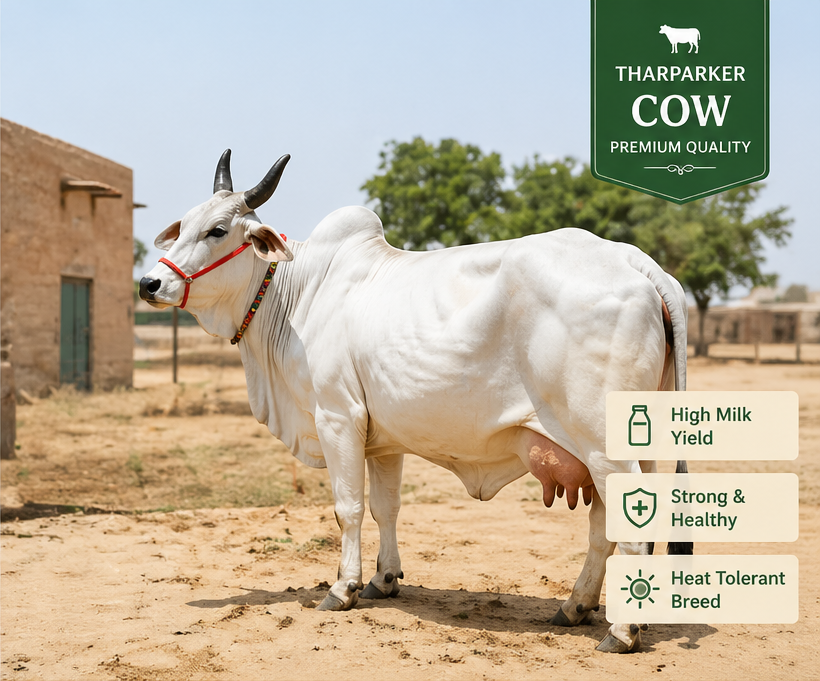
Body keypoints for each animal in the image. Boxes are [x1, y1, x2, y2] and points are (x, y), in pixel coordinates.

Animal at [139, 151, 692, 653]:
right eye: (183, 226)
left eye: (216, 231)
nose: (150, 283)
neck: (299, 294)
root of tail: (635, 261)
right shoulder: (383, 439)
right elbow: (385, 508)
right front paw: (383, 580)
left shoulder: (338, 418)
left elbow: (348, 508)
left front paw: (343, 588)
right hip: (620, 444)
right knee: (606, 528)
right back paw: (577, 606)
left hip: (602, 444)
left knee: (630, 527)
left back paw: (622, 631)